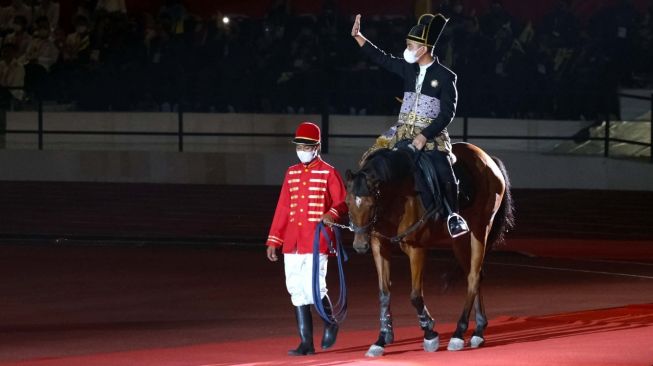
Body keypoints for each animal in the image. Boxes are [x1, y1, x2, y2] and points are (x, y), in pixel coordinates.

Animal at [344, 142, 512, 356]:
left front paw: (430, 333)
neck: (398, 191)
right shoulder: (379, 246)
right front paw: (382, 339)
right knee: (476, 275)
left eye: (372, 204)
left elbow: (416, 295)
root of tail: (489, 159)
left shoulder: (416, 248)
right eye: (348, 202)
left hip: (480, 229)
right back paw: (479, 332)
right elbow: (384, 293)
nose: (359, 245)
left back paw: (458, 333)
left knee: (474, 278)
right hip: (460, 241)